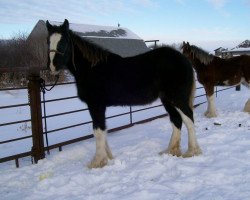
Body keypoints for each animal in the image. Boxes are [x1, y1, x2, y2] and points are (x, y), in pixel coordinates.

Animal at [45, 19, 201, 168]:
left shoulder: (95, 105)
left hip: (177, 98)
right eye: (48, 41)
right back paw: (171, 151)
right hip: (167, 99)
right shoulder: (99, 106)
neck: (91, 69)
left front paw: (97, 162)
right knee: (176, 120)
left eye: (63, 42)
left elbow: (98, 131)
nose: (52, 67)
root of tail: (184, 60)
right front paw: (108, 158)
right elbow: (103, 129)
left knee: (188, 119)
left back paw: (192, 152)